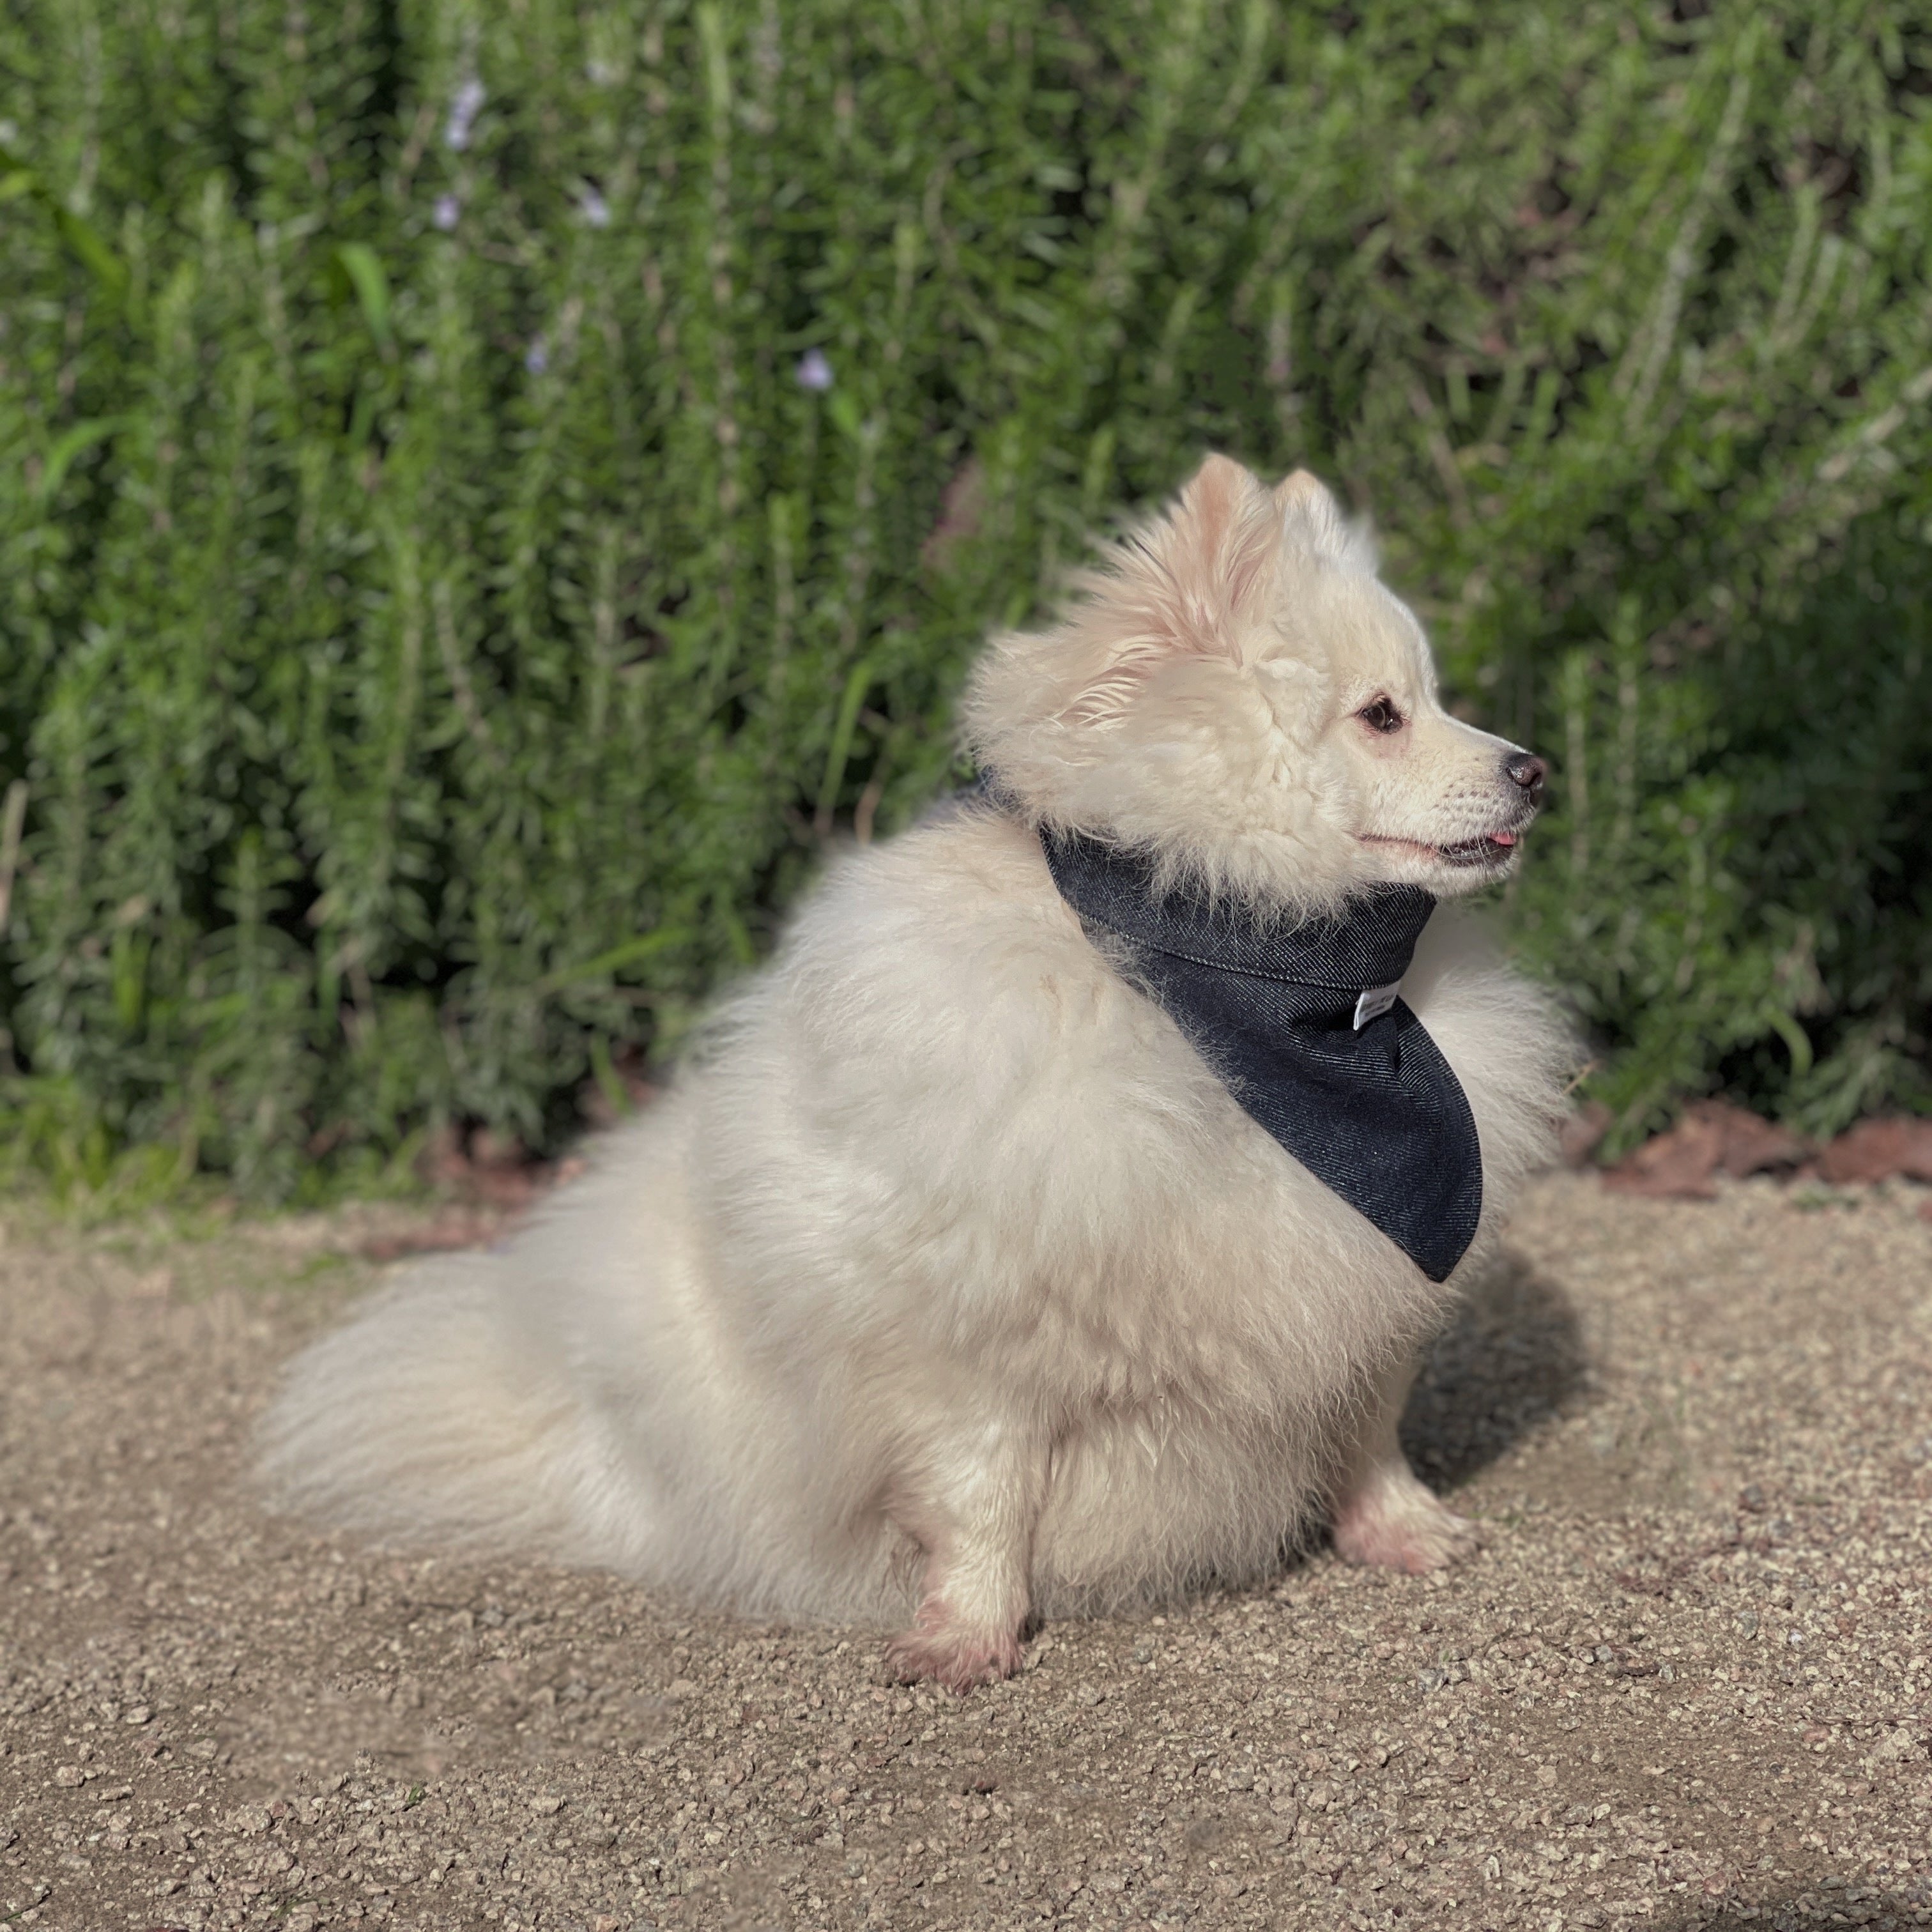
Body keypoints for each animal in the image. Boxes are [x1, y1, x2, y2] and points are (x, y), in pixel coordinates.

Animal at [257, 456, 1576, 1692]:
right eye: (1380, 714)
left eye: (1432, 698)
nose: (1533, 766)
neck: (1259, 993)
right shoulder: (967, 1340)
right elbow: (978, 1495)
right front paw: (965, 1634)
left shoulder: (1364, 1296)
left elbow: (1368, 1430)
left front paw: (1401, 1529)